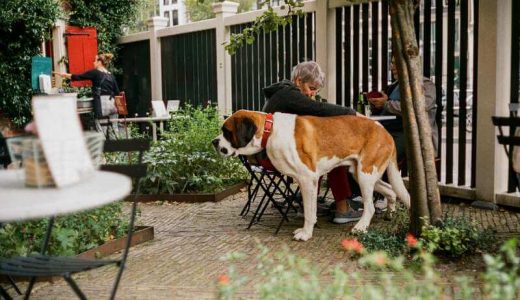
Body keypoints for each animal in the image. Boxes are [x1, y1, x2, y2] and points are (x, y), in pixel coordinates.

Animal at [212, 110, 410, 241]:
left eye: (226, 132)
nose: (214, 142)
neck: (270, 130)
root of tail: (385, 131)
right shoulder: (307, 182)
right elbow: (311, 209)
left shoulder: (308, 180)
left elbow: (308, 211)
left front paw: (306, 234)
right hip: (361, 174)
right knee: (391, 190)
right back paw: (390, 213)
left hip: (365, 175)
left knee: (370, 206)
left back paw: (360, 227)